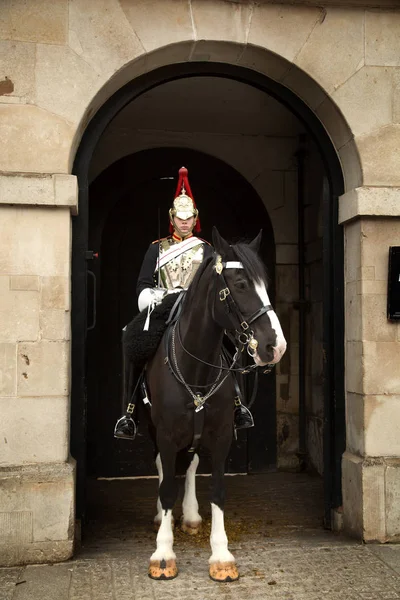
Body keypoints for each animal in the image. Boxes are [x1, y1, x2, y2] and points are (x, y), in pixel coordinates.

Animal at [124, 229, 284, 580]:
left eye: (265, 284)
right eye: (241, 284)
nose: (275, 346)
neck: (195, 367)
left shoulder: (222, 435)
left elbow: (218, 489)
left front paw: (221, 555)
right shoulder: (167, 434)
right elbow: (166, 485)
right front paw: (163, 553)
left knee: (192, 464)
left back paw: (191, 515)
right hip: (154, 427)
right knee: (162, 467)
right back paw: (162, 516)